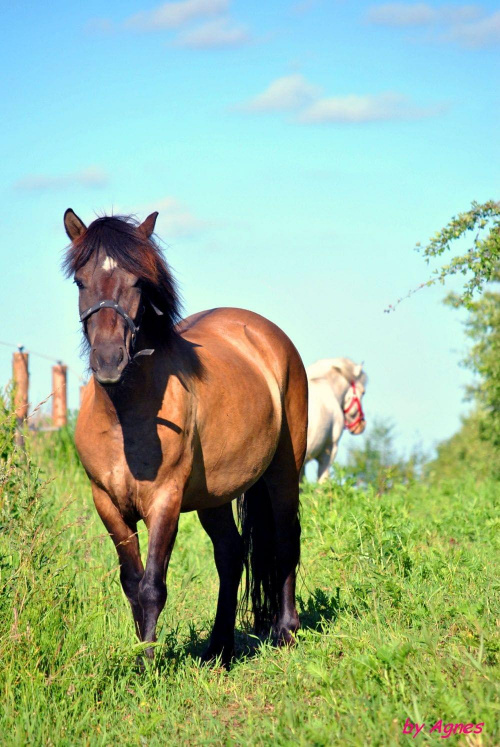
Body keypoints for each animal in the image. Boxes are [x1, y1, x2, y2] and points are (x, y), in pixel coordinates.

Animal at [64, 210, 306, 668]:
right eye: (80, 281)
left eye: (138, 282)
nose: (109, 361)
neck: (125, 419)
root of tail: (267, 335)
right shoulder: (106, 502)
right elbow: (131, 583)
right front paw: (140, 654)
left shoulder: (165, 500)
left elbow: (152, 586)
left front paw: (147, 665)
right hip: (214, 496)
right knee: (230, 555)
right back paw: (219, 649)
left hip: (285, 470)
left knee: (286, 540)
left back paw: (285, 631)